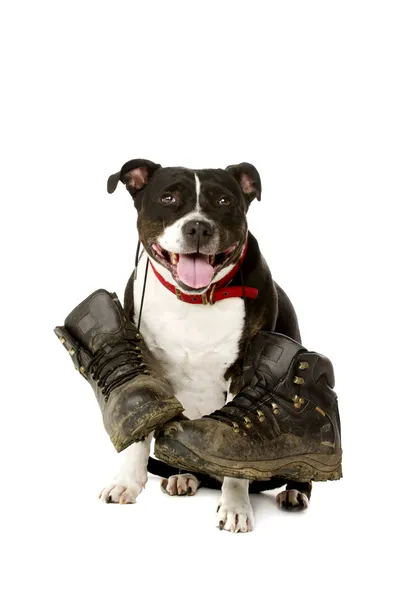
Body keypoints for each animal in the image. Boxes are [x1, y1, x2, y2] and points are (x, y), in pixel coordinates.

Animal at [101, 157, 300, 532]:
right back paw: (184, 476)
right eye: (167, 198)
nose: (198, 228)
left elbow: (237, 452)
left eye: (224, 201)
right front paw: (127, 483)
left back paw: (295, 491)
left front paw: (235, 507)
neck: (196, 300)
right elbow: (141, 426)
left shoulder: (246, 374)